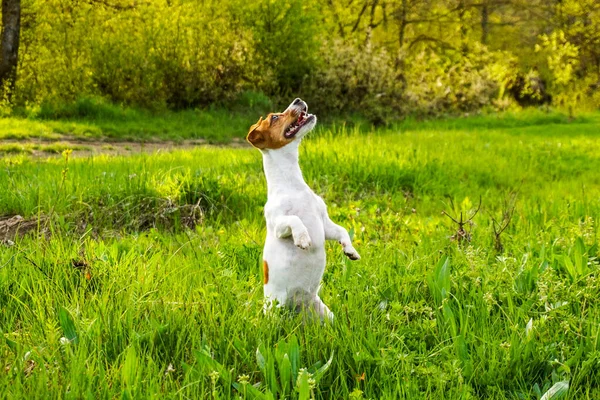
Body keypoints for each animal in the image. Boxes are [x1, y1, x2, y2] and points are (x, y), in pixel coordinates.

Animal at [245, 98, 360, 320]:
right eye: (275, 117)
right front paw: (303, 238)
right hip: (274, 310)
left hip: (324, 313)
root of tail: (297, 309)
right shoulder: (278, 225)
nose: (298, 100)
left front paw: (350, 250)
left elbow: (342, 230)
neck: (293, 184)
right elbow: (295, 220)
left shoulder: (325, 225)